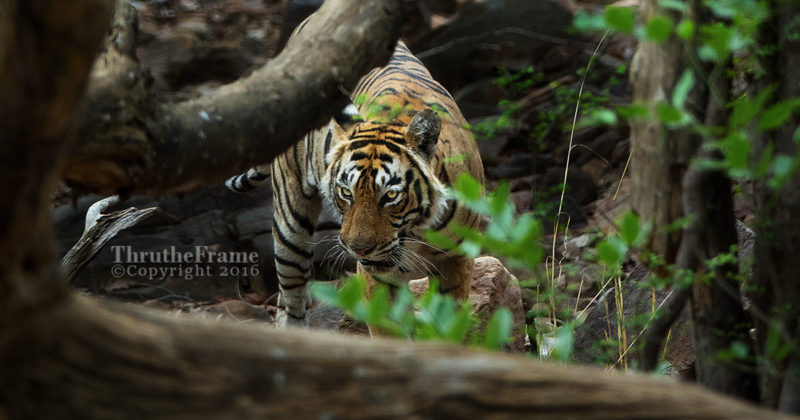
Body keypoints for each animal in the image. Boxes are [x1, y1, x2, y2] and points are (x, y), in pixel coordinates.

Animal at [228, 40, 484, 328]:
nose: (358, 248)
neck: (417, 232)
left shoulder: (457, 258)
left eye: (391, 195)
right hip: (290, 220)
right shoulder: (378, 277)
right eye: (345, 192)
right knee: (291, 290)